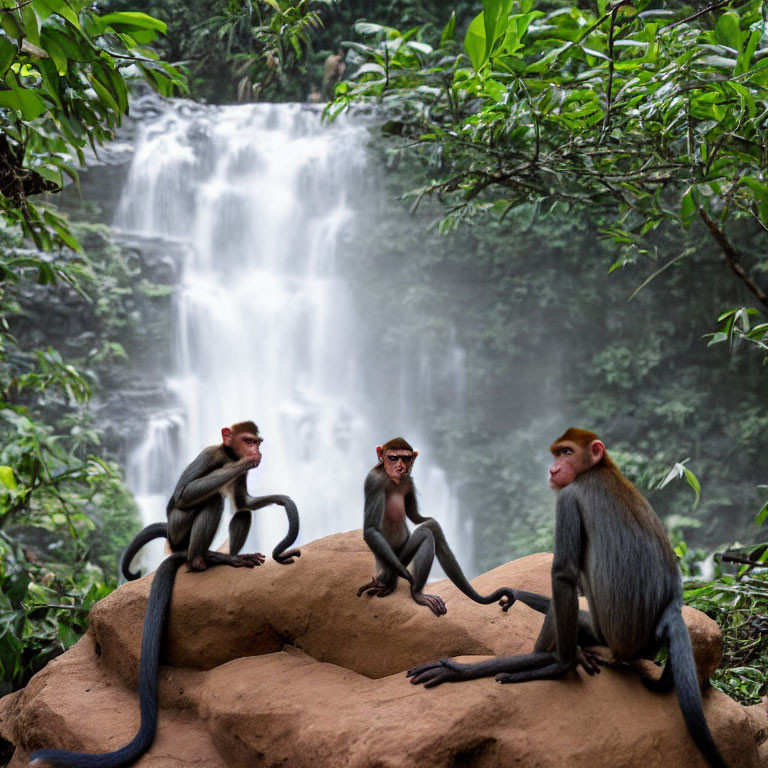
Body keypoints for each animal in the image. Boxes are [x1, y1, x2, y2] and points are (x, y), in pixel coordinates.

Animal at [356, 438, 532, 616]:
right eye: (392, 457)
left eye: (405, 458)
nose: (400, 466)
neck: (392, 479)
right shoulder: (374, 481)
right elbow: (371, 528)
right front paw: (406, 575)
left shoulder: (408, 481)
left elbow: (417, 517)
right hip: (387, 566)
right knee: (425, 535)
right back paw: (415, 592)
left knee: (430, 530)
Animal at [408, 428, 728, 764]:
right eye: (557, 454)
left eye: (567, 453)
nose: (553, 469)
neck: (602, 469)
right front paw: (513, 594)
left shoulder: (569, 498)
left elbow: (562, 575)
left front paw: (554, 665)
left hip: (605, 639)